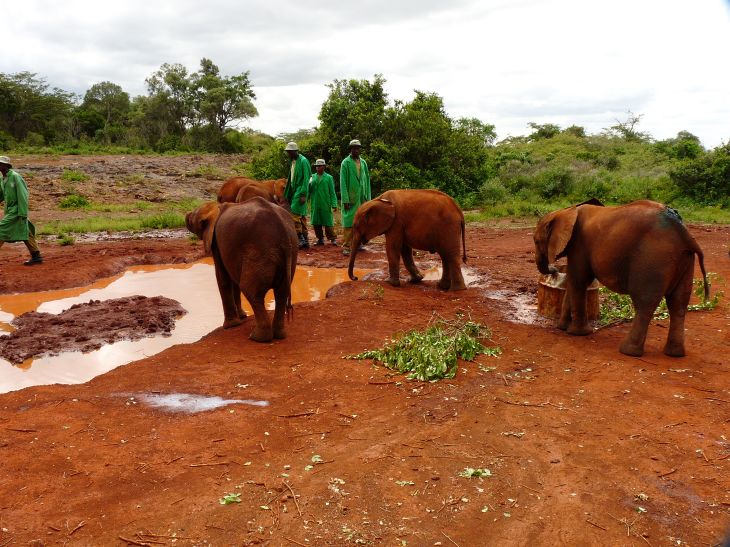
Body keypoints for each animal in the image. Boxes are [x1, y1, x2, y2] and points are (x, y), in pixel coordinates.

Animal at [185, 197, 298, 342]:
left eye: (193, 218)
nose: (187, 214)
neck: (217, 206)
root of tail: (284, 233)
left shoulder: (217, 243)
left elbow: (223, 277)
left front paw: (230, 326)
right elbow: (234, 279)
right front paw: (242, 317)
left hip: (259, 252)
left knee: (251, 291)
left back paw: (257, 338)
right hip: (290, 253)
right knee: (281, 293)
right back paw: (279, 336)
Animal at [534, 199, 709, 357]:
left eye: (536, 241)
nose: (554, 270)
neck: (565, 211)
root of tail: (684, 233)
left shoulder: (579, 245)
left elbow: (579, 281)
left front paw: (577, 333)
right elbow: (574, 281)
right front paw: (562, 328)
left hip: (652, 259)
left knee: (645, 303)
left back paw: (628, 351)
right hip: (685, 259)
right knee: (678, 304)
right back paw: (675, 354)